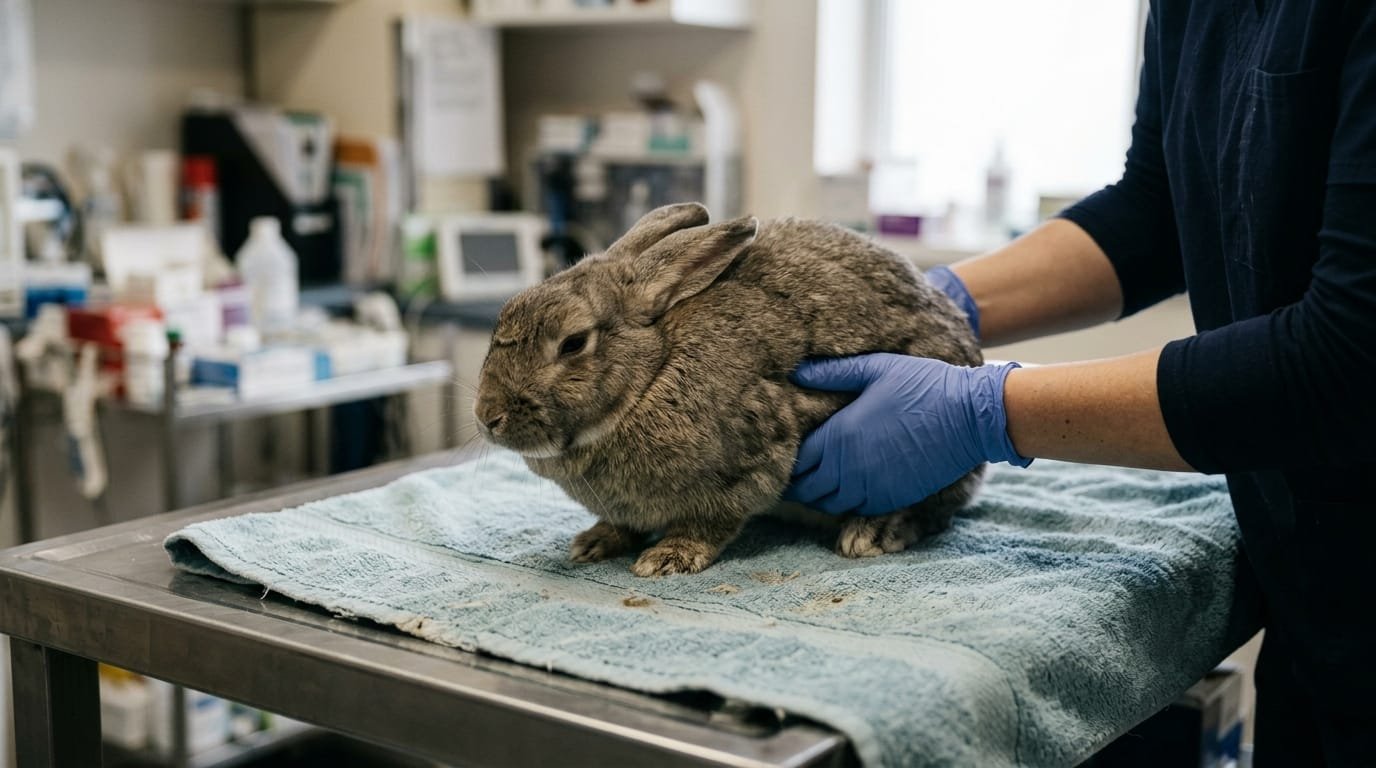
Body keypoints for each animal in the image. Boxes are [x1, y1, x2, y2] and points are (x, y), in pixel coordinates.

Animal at [474, 203, 984, 576]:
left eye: (574, 342)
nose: (486, 417)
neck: (652, 373)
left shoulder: (747, 469)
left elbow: (711, 524)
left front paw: (667, 559)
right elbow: (621, 524)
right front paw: (594, 542)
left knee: (935, 509)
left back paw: (872, 533)